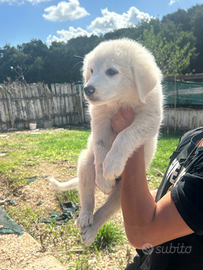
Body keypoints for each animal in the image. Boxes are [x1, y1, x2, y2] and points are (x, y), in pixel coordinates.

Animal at [50, 38, 164, 247]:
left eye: (112, 71)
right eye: (91, 71)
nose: (87, 89)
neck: (120, 101)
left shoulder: (150, 118)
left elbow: (125, 135)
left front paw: (112, 165)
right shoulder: (99, 121)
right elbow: (101, 147)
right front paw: (104, 177)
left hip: (122, 192)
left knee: (105, 211)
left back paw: (91, 231)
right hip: (86, 162)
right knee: (87, 196)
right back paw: (85, 217)